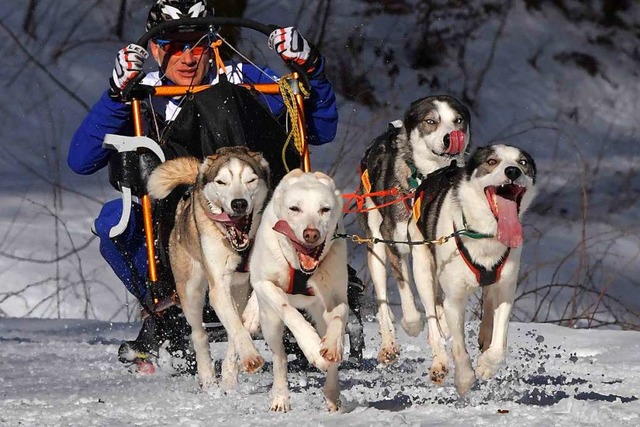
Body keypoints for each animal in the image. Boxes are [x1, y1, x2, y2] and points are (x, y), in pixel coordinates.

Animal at [250, 169, 350, 412]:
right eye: (294, 208)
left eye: (325, 209)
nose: (311, 234)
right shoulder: (263, 283)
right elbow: (289, 310)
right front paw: (311, 346)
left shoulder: (336, 295)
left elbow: (339, 316)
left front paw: (331, 346)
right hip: (270, 322)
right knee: (279, 356)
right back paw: (280, 397)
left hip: (320, 315)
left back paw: (332, 393)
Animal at [358, 96, 472, 364]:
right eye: (431, 121)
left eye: (458, 120)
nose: (451, 137)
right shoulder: (395, 242)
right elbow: (405, 291)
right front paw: (412, 324)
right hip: (375, 246)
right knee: (383, 301)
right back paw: (388, 344)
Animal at [410, 145, 536, 396]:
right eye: (492, 161)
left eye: (523, 163)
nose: (513, 171)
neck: (485, 234)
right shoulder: (454, 299)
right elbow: (458, 347)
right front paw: (465, 378)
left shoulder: (506, 290)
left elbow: (499, 343)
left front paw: (486, 364)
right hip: (422, 270)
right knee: (433, 324)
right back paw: (440, 360)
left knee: (487, 305)